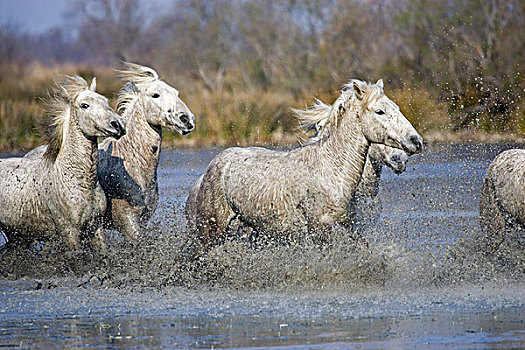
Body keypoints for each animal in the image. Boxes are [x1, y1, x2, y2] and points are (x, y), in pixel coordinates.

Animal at [0, 77, 126, 252]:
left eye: (105, 100)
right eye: (84, 105)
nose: (118, 125)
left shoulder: (95, 228)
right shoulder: (70, 233)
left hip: (17, 235)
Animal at [184, 78, 422, 252]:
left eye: (396, 107)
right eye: (379, 111)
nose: (416, 141)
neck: (333, 170)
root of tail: (213, 166)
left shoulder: (348, 226)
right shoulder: (320, 229)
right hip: (211, 230)